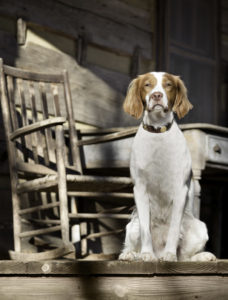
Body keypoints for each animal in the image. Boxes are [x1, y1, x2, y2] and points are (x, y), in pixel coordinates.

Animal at [118, 71, 216, 262]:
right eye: (147, 84)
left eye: (168, 84)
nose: (157, 95)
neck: (157, 132)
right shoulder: (140, 189)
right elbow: (146, 229)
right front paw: (146, 254)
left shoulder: (180, 189)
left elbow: (174, 229)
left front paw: (169, 254)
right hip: (131, 226)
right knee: (133, 244)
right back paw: (131, 254)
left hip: (200, 228)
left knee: (185, 258)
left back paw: (202, 256)